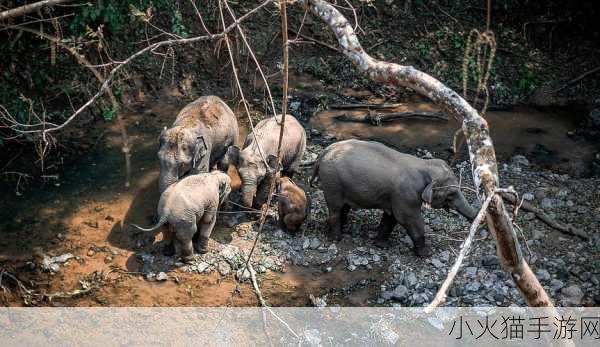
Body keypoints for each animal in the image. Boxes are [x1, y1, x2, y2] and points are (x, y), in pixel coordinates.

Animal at [312, 140, 476, 256]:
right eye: (451, 194)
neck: (424, 164)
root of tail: (324, 152)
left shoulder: (395, 196)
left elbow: (391, 218)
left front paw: (381, 245)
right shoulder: (406, 195)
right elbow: (409, 219)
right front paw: (426, 254)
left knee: (344, 208)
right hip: (332, 182)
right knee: (335, 208)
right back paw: (337, 238)